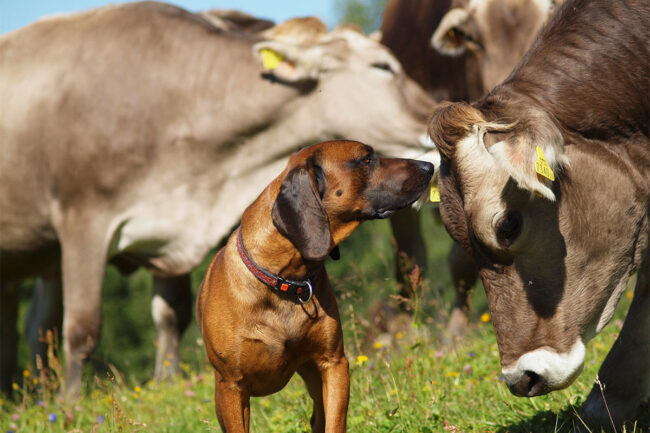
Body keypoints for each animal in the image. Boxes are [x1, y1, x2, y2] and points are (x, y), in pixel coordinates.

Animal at [1, 1, 436, 396]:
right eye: (382, 66)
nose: (434, 117)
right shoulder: (82, 219)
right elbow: (82, 329)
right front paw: (72, 403)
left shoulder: (173, 227)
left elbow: (171, 315)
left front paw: (167, 384)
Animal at [195, 140, 432, 430]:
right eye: (366, 159)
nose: (429, 165)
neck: (285, 282)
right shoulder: (231, 385)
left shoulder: (334, 363)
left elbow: (334, 421)